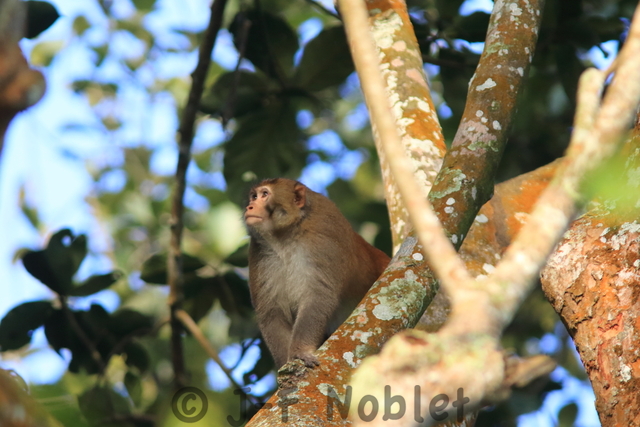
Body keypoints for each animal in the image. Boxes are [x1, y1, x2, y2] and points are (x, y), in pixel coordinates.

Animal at [244, 178, 390, 368]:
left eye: (265, 194)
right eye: (253, 196)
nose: (249, 206)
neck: (284, 236)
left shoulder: (324, 234)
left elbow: (319, 295)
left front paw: (299, 352)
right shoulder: (258, 252)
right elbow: (272, 312)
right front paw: (286, 366)